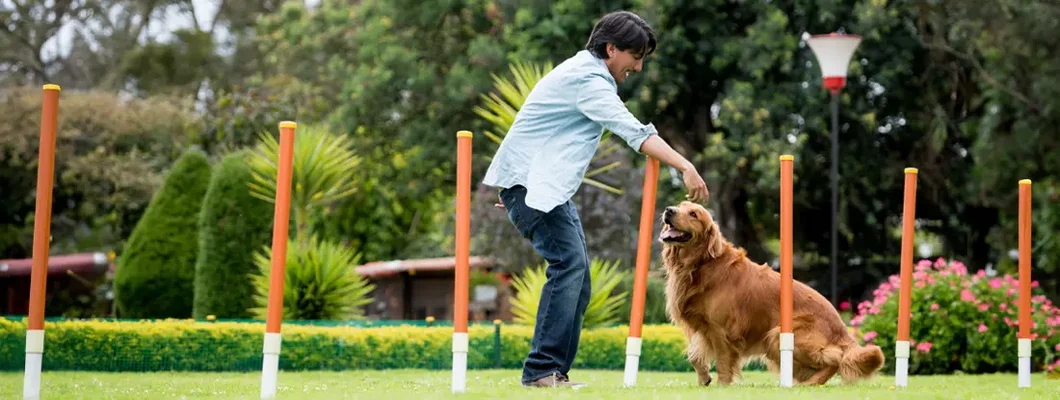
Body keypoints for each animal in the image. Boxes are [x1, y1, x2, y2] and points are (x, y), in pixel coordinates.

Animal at [657, 200, 881, 384]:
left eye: (693, 214)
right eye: (680, 205)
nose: (669, 210)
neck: (701, 264)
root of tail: (842, 329)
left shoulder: (722, 329)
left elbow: (723, 363)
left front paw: (721, 386)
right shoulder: (702, 326)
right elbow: (694, 356)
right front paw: (704, 378)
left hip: (778, 335)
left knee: (835, 358)